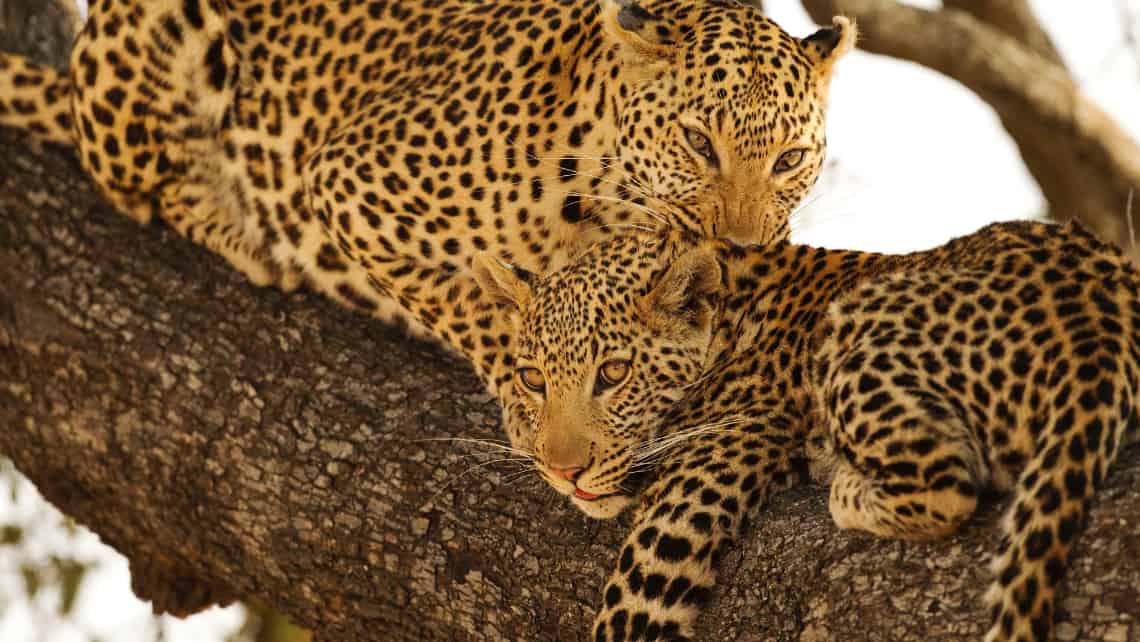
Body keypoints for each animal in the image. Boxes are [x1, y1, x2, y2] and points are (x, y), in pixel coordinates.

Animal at [0, 0, 857, 344]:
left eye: (789, 160)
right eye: (698, 144)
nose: (742, 248)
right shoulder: (345, 178)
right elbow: (461, 303)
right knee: (141, 183)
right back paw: (243, 235)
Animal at [389, 218, 1130, 638]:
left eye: (615, 373)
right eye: (533, 378)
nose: (566, 472)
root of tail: (1098, 314)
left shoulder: (714, 464)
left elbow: (629, 613)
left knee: (948, 489)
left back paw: (846, 489)